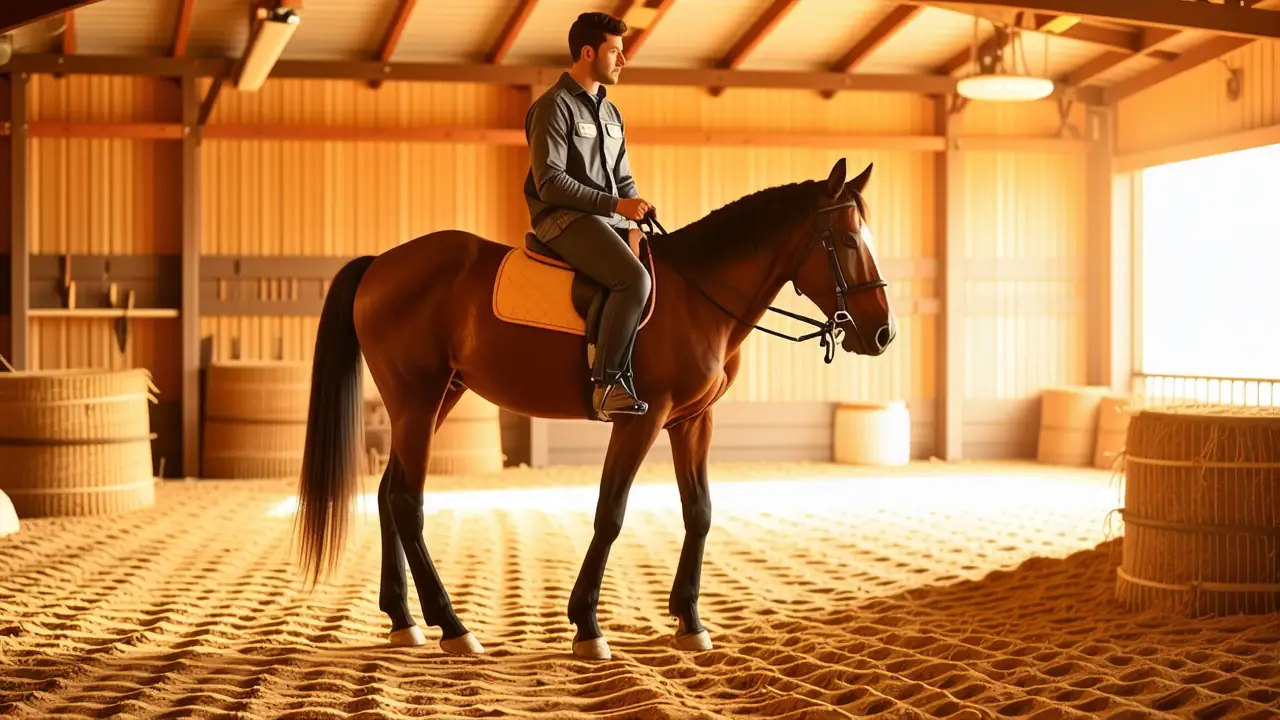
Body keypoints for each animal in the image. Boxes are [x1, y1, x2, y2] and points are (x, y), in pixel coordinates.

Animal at [293, 157, 896, 661]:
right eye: (846, 241)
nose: (883, 334)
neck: (697, 296)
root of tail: (381, 264)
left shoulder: (692, 421)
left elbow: (698, 513)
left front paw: (690, 621)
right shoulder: (641, 418)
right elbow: (611, 513)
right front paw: (587, 625)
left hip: (438, 397)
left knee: (387, 494)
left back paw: (403, 619)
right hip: (417, 399)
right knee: (406, 501)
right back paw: (454, 626)